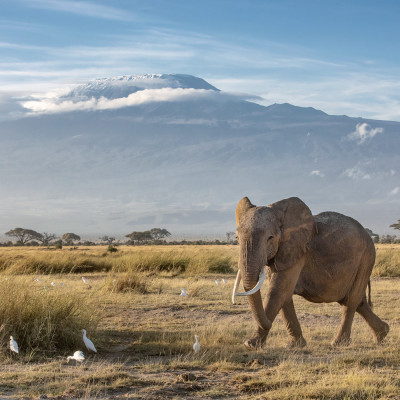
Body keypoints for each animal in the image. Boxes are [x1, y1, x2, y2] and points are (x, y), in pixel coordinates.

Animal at [233, 198, 390, 348]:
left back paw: (339, 343)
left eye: (270, 238)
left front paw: (250, 345)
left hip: (366, 258)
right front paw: (295, 345)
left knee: (351, 300)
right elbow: (285, 295)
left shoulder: (298, 251)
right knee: (359, 301)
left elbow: (278, 292)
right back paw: (382, 334)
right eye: (237, 238)